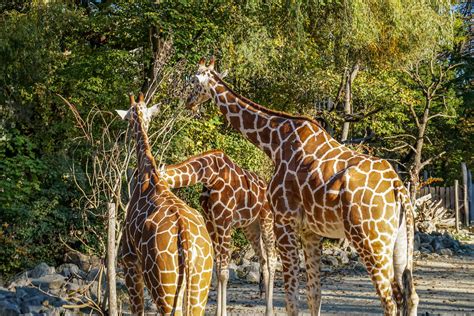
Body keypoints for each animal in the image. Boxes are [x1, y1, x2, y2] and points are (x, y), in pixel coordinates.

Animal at [115, 92, 213, 314]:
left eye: (128, 120)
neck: (148, 174)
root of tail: (187, 243)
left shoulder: (129, 261)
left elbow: (137, 310)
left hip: (164, 287)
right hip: (199, 286)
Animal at [159, 149, 278, 316]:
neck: (209, 174)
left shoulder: (224, 221)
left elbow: (223, 272)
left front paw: (223, 312)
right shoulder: (210, 221)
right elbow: (218, 269)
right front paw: (217, 312)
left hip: (267, 219)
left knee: (272, 258)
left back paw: (270, 310)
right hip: (251, 226)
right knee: (264, 260)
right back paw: (267, 307)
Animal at [185, 57, 418, 316]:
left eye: (192, 80)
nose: (187, 102)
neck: (274, 143)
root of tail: (398, 187)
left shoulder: (284, 221)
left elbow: (290, 296)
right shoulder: (310, 230)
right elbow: (314, 295)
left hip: (371, 240)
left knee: (389, 301)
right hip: (398, 241)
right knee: (409, 296)